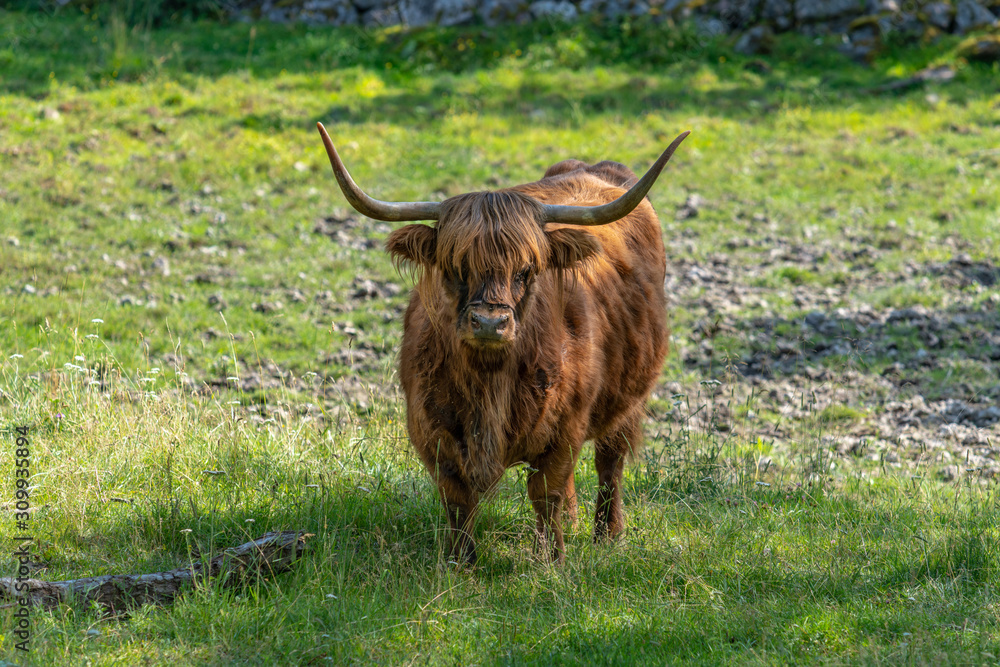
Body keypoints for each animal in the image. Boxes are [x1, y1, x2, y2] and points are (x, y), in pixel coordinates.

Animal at [318, 124, 688, 564]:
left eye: (526, 269)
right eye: (454, 266)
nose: (490, 322)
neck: (489, 382)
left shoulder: (565, 427)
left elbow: (546, 493)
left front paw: (552, 559)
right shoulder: (432, 428)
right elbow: (458, 499)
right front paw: (461, 561)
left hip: (629, 398)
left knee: (609, 464)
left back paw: (607, 535)